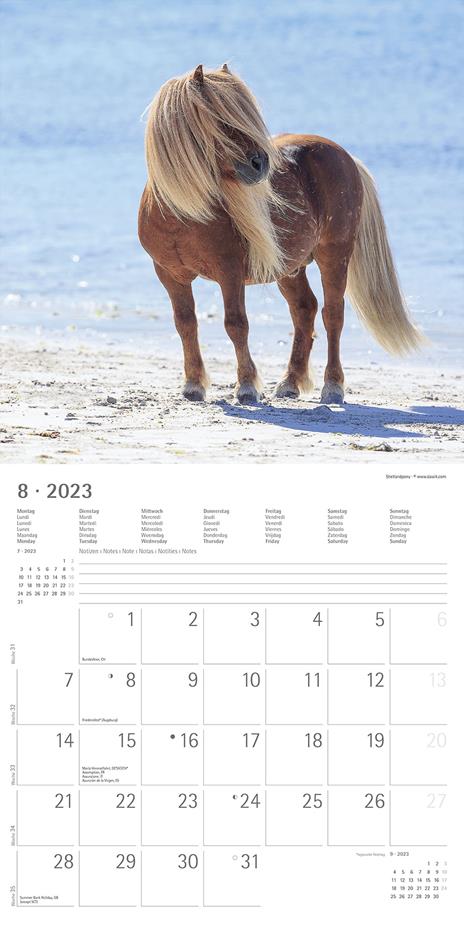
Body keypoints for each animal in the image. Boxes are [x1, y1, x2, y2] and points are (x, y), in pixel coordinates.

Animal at [138, 64, 423, 404]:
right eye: (222, 120)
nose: (261, 163)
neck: (184, 214)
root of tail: (344, 156)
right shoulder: (170, 275)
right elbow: (185, 324)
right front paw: (194, 384)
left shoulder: (229, 272)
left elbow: (236, 324)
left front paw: (247, 386)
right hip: (290, 268)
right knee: (304, 310)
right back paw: (290, 382)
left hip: (334, 255)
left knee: (332, 314)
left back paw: (332, 386)